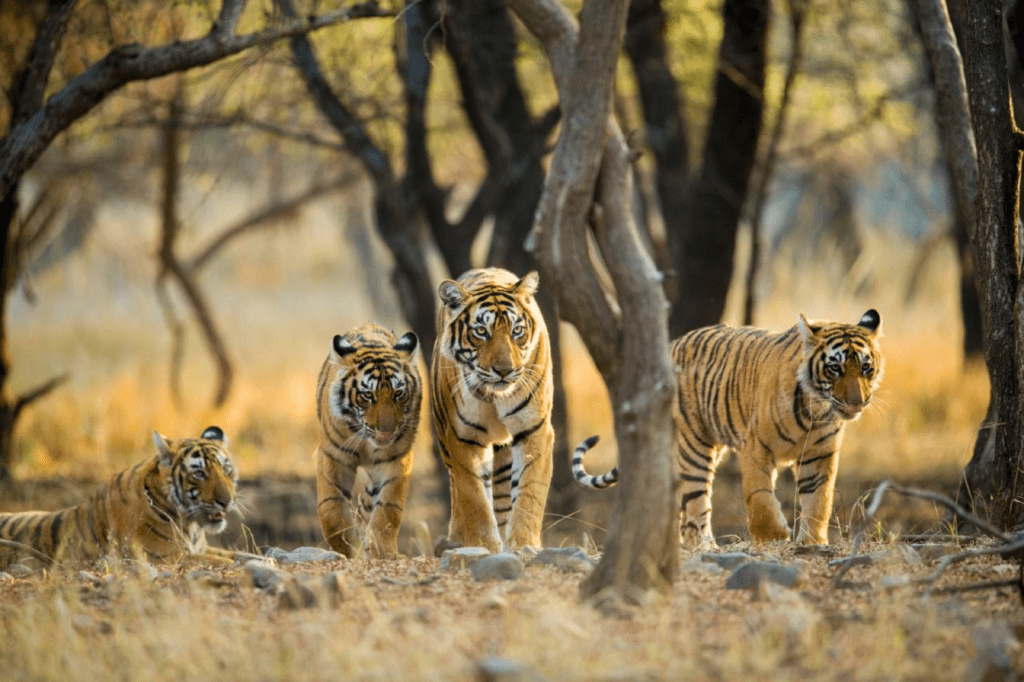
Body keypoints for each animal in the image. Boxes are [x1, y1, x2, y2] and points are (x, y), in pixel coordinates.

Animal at [0, 426, 239, 569]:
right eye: (199, 473)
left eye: (226, 470)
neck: (192, 526)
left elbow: (236, 554)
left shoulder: (200, 548)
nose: (226, 501)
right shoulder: (167, 557)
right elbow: (222, 561)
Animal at [315, 323, 422, 558]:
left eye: (398, 393)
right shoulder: (333, 456)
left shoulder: (396, 459)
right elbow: (331, 508)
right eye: (367, 395)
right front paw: (346, 547)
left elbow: (387, 509)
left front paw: (381, 552)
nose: (387, 431)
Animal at [431, 268, 554, 553]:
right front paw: (484, 545)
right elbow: (474, 497)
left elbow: (530, 491)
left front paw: (523, 544)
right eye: (480, 332)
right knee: (457, 489)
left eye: (517, 331)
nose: (504, 370)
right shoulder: (462, 437)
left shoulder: (535, 429)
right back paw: (456, 539)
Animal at [573, 310, 884, 547]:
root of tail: (671, 345)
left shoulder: (819, 455)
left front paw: (812, 542)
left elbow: (819, 500)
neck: (815, 410)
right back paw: (704, 545)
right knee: (697, 501)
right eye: (835, 369)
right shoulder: (756, 447)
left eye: (866, 368)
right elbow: (759, 498)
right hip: (694, 446)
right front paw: (774, 536)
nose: (857, 401)